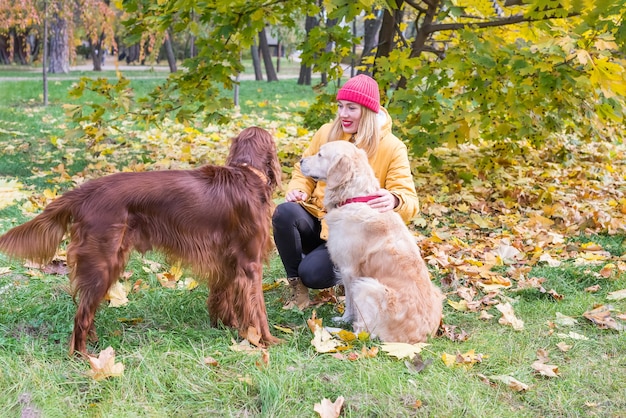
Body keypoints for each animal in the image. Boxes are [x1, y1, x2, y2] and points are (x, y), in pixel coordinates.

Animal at [0, 125, 280, 354]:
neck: (246, 173)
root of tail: (83, 192)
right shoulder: (250, 264)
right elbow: (258, 308)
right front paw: (267, 340)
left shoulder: (227, 261)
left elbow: (225, 297)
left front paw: (228, 326)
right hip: (103, 262)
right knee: (81, 317)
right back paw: (84, 358)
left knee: (87, 310)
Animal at [298, 140, 438, 342]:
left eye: (320, 154)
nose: (300, 160)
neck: (354, 197)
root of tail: (418, 339)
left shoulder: (349, 270)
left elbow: (350, 303)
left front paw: (344, 319)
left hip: (368, 286)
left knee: (360, 333)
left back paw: (328, 330)